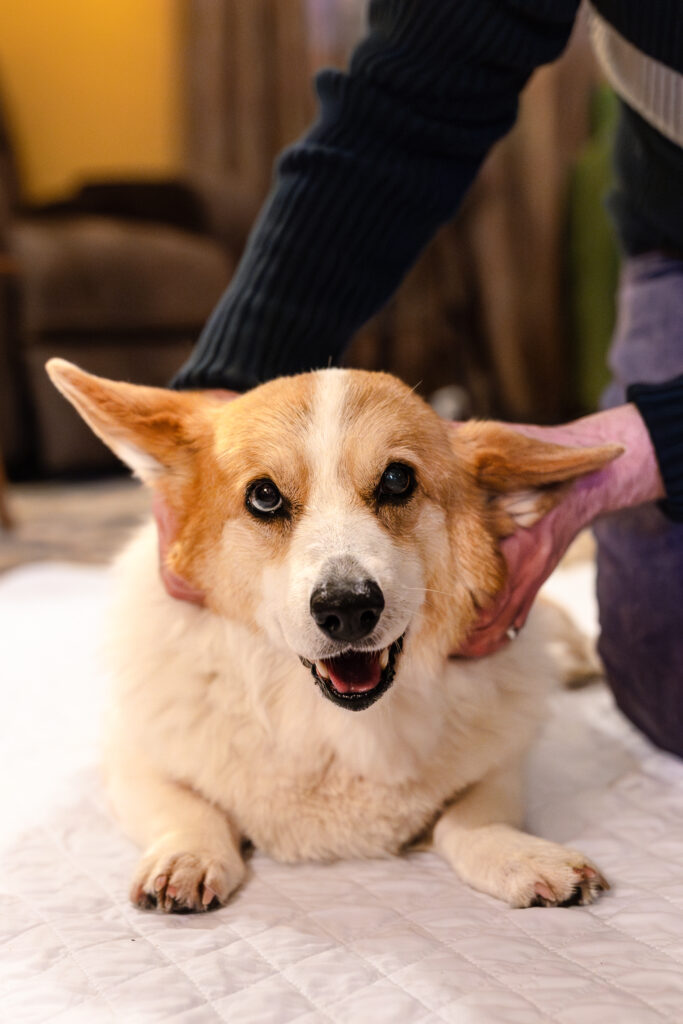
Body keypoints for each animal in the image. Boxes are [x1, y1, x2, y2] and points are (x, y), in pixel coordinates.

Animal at [45, 358, 618, 913]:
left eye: (397, 480)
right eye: (265, 496)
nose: (348, 609)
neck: (338, 729)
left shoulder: (503, 768)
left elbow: (470, 820)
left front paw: (525, 856)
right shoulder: (132, 762)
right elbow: (188, 809)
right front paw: (188, 857)